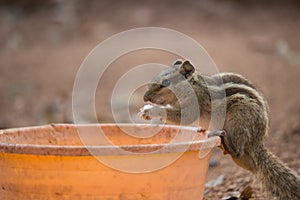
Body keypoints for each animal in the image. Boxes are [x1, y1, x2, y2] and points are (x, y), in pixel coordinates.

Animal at [139, 58, 300, 199]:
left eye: (165, 83)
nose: (145, 97)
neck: (193, 87)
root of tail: (257, 141)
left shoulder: (194, 105)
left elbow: (183, 116)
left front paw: (151, 110)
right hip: (243, 158)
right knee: (248, 161)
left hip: (239, 117)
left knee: (237, 149)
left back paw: (222, 137)